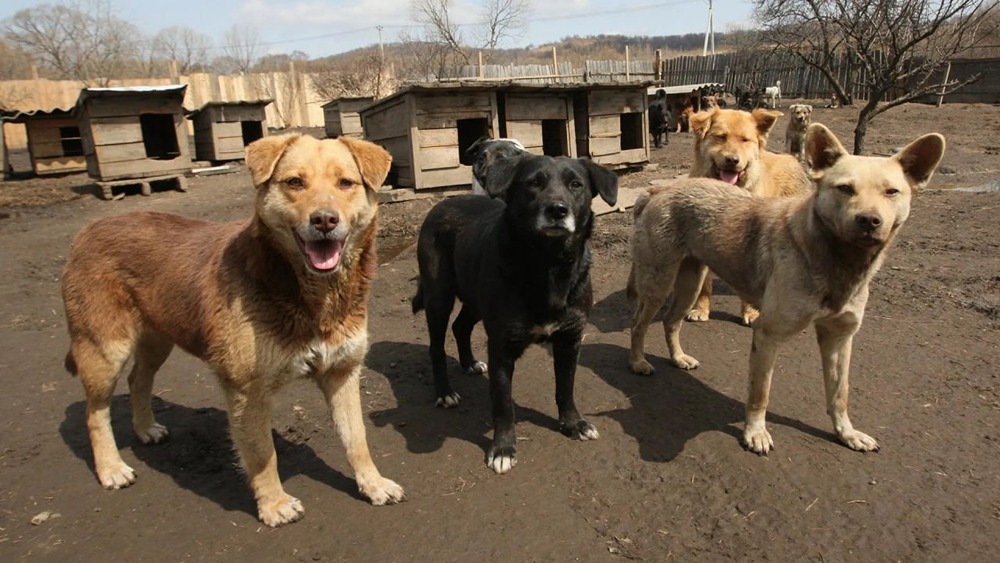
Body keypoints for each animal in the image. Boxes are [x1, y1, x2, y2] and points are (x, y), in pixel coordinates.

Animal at [60, 133, 404, 528]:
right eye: (294, 182)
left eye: (345, 183)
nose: (324, 220)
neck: (314, 296)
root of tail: (87, 231)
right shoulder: (247, 390)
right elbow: (263, 454)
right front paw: (273, 504)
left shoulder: (342, 372)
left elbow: (357, 440)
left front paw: (373, 484)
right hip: (105, 349)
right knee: (95, 413)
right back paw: (111, 468)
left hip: (157, 339)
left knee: (138, 381)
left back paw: (146, 428)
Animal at [408, 152, 612, 474]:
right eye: (533, 183)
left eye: (576, 184)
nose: (557, 210)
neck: (547, 266)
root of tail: (442, 203)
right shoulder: (502, 347)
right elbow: (503, 405)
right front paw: (503, 449)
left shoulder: (569, 340)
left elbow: (565, 387)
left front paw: (573, 423)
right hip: (438, 296)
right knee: (436, 347)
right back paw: (444, 392)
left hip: (474, 299)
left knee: (461, 327)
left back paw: (469, 363)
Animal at [688, 107, 812, 326]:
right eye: (720, 137)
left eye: (745, 140)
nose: (732, 160)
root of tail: (791, 158)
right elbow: (704, 284)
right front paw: (700, 309)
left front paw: (751, 312)